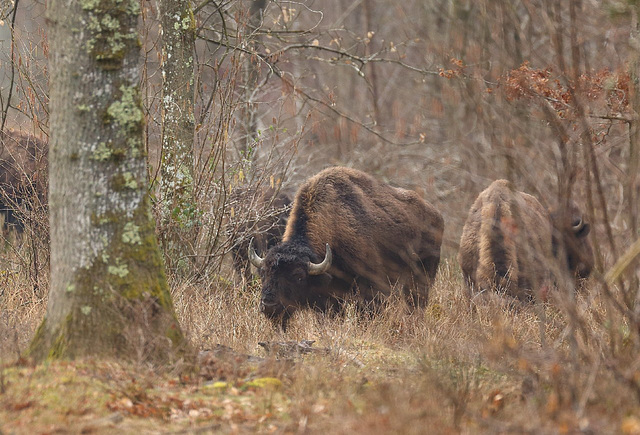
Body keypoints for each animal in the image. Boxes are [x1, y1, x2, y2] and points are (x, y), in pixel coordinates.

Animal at [248, 166, 442, 328]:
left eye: (298, 276)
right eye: (263, 273)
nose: (268, 304)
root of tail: (436, 215)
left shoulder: (370, 288)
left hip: (421, 277)